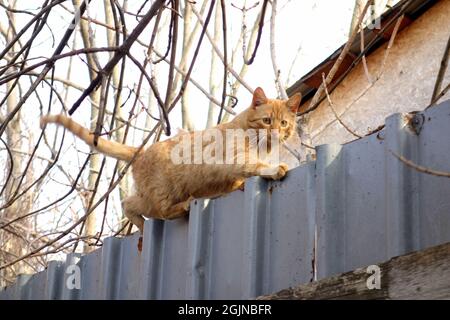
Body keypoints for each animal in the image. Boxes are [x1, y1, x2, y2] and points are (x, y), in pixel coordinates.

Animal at [41, 87, 302, 232]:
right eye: (267, 121)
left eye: (283, 123)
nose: (276, 133)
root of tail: (142, 150)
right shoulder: (237, 159)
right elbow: (255, 166)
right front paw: (274, 169)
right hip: (164, 191)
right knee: (162, 211)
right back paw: (183, 206)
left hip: (148, 195)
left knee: (129, 203)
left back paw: (142, 227)